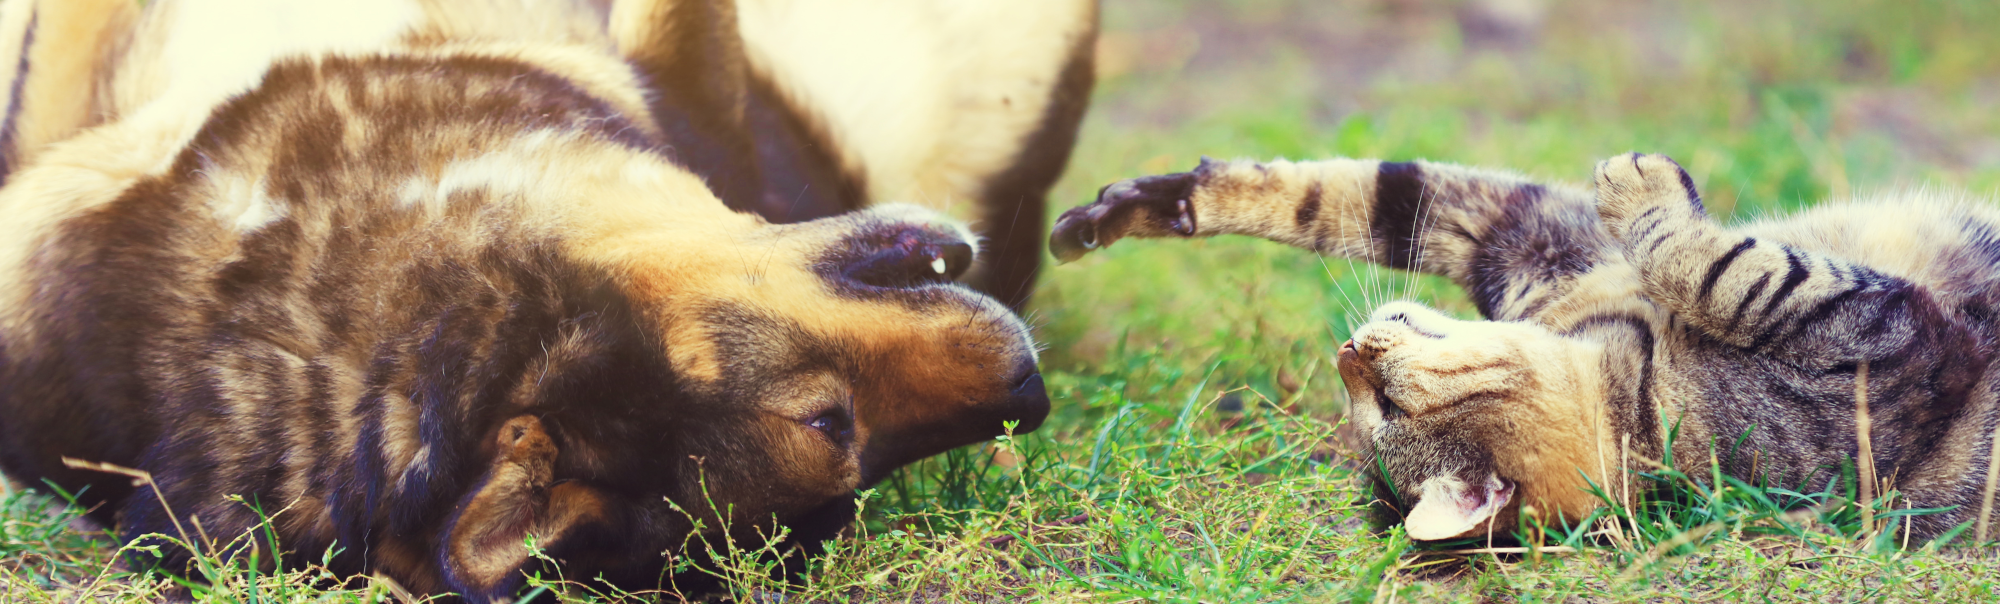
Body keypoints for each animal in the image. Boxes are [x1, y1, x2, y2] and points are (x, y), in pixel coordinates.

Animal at [1056, 153, 2000, 540]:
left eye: (1378, 402)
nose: (1348, 349)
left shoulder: (1527, 241)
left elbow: (1351, 192)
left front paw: (1133, 207)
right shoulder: (1896, 349)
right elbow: (1726, 267)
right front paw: (1645, 185)